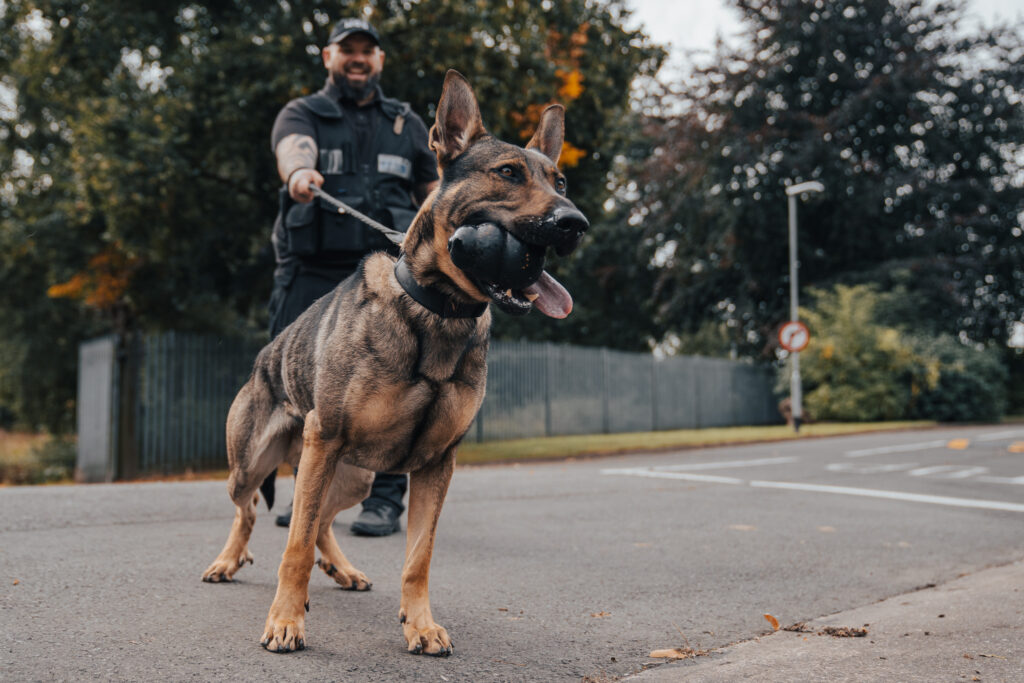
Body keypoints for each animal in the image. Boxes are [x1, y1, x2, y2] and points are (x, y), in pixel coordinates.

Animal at [201, 70, 585, 655]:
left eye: (560, 182)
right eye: (508, 173)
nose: (575, 222)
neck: (437, 312)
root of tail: (264, 358)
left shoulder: (436, 464)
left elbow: (418, 557)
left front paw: (420, 624)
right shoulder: (325, 440)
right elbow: (293, 549)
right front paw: (285, 621)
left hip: (351, 477)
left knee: (320, 523)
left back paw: (341, 569)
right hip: (254, 464)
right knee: (251, 513)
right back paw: (229, 560)